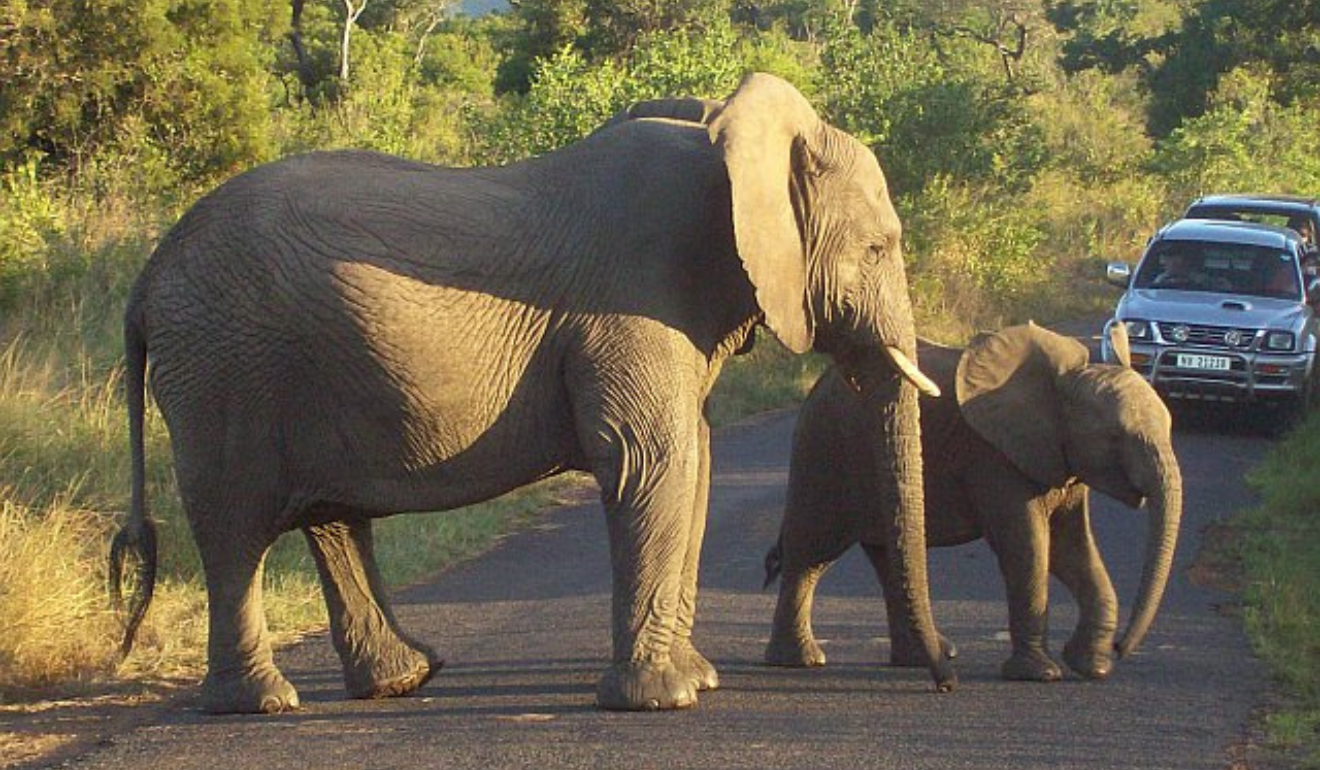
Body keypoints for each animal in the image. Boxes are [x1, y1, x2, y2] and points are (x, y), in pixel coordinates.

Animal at [113, 73, 955, 718]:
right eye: (878, 248)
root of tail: (147, 276)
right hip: (226, 366)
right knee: (236, 525)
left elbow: (698, 459)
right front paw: (665, 699)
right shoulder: (634, 297)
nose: (940, 679)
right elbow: (653, 459)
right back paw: (262, 704)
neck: (723, 136)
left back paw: (402, 680)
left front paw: (697, 681)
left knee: (329, 517)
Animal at [765, 322, 1188, 681]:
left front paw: (1092, 666)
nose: (1121, 648)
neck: (1061, 386)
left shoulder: (1059, 462)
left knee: (886, 558)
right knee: (812, 553)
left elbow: (1070, 549)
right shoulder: (994, 457)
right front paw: (1040, 674)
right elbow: (1028, 546)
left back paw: (919, 658)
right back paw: (801, 660)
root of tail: (818, 384)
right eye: (1116, 438)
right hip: (825, 447)